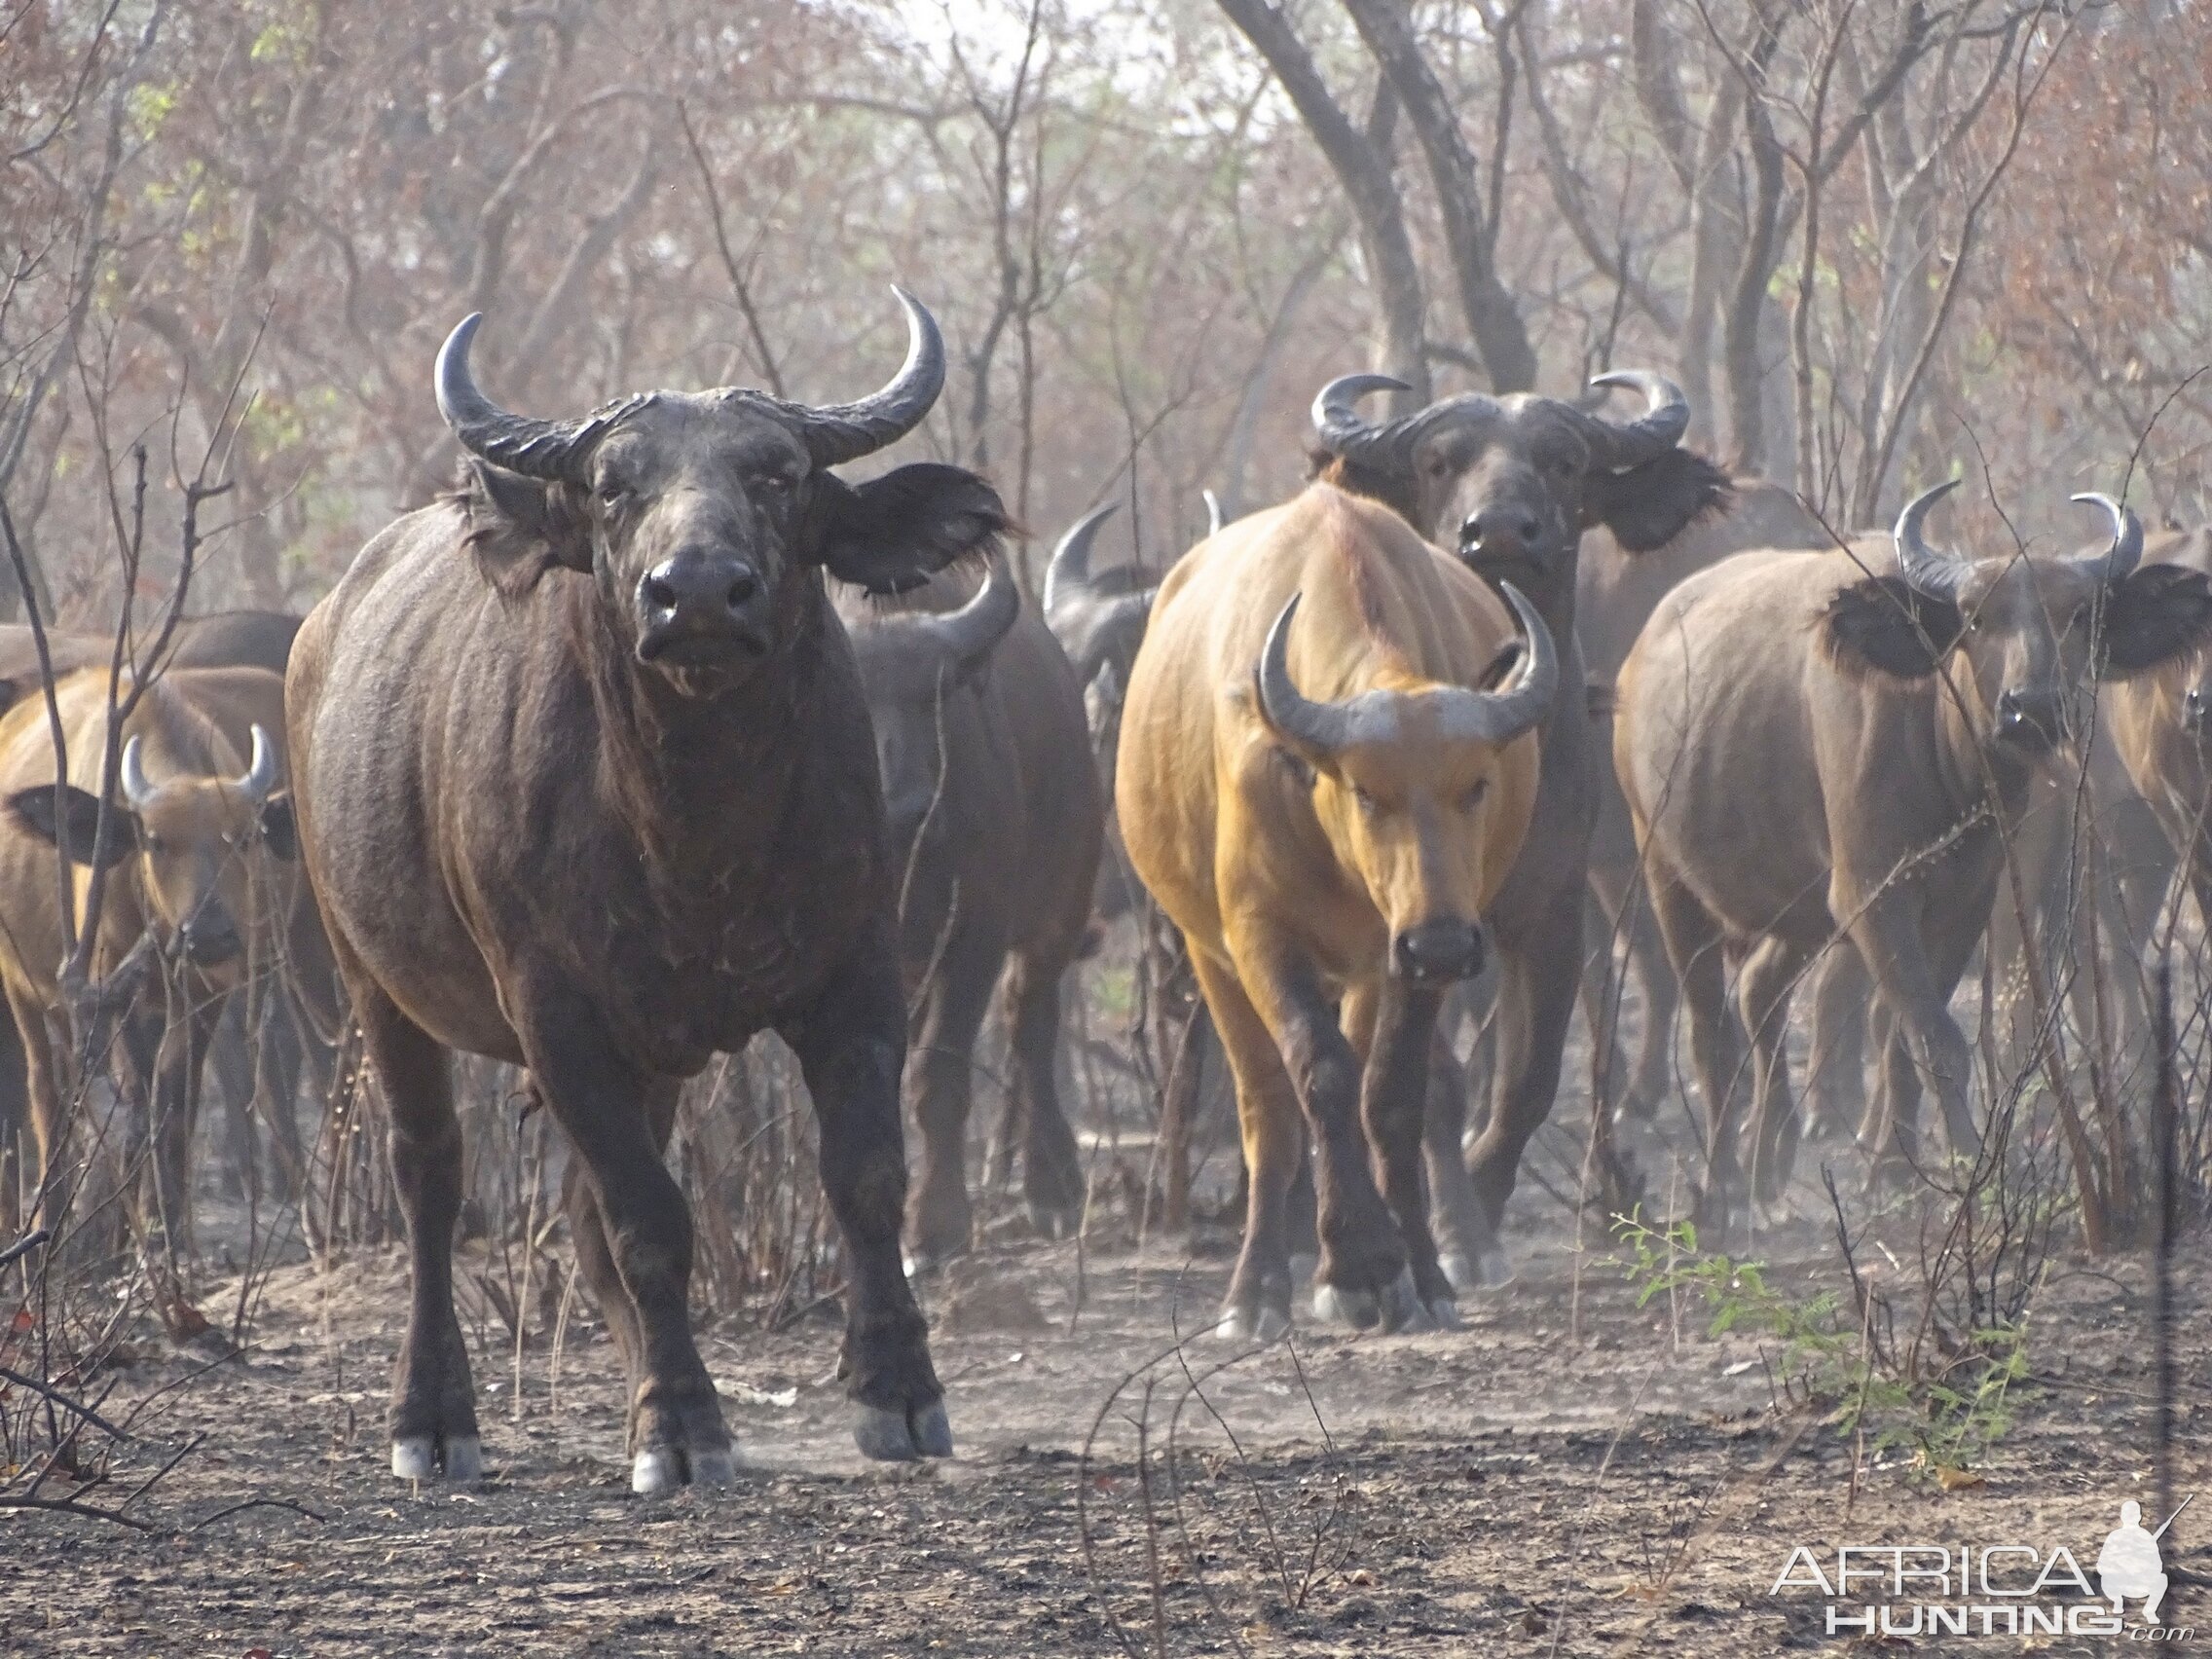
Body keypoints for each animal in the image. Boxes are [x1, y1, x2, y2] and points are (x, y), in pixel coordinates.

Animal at [287, 289, 995, 1494]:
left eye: (778, 473)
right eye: (615, 485)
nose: (697, 592)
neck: (695, 827)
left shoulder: (857, 971)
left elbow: (863, 1177)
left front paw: (899, 1394)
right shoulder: (557, 1014)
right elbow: (648, 1223)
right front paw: (681, 1427)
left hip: (649, 1052)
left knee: (577, 1210)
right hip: (371, 980)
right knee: (431, 1177)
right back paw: (434, 1418)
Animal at [831, 553, 1101, 1265]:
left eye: (935, 696)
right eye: (850, 700)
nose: (907, 807)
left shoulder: (975, 935)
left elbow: (939, 1074)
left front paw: (934, 1223)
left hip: (1060, 907)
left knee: (1030, 1027)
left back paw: (1052, 1185)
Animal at [1115, 486, 1548, 1345]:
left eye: (1477, 784)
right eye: (1365, 792)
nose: (1443, 945)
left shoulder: (1396, 956)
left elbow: (1391, 1094)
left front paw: (1417, 1274)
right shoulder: (1260, 938)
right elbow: (1314, 1078)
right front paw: (1354, 1269)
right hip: (1209, 954)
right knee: (1267, 1106)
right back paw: (1261, 1283)